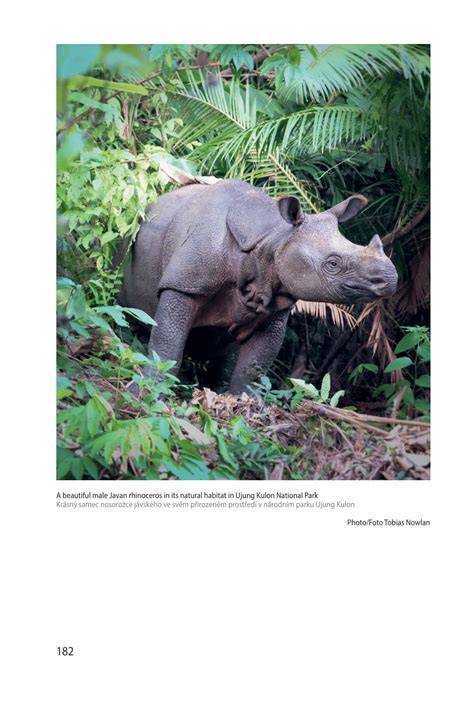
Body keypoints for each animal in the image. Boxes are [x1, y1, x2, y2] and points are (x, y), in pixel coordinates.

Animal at [119, 179, 397, 394]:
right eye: (333, 263)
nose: (390, 278)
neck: (273, 239)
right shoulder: (184, 283)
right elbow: (166, 345)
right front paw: (147, 391)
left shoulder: (273, 307)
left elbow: (253, 367)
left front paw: (243, 404)